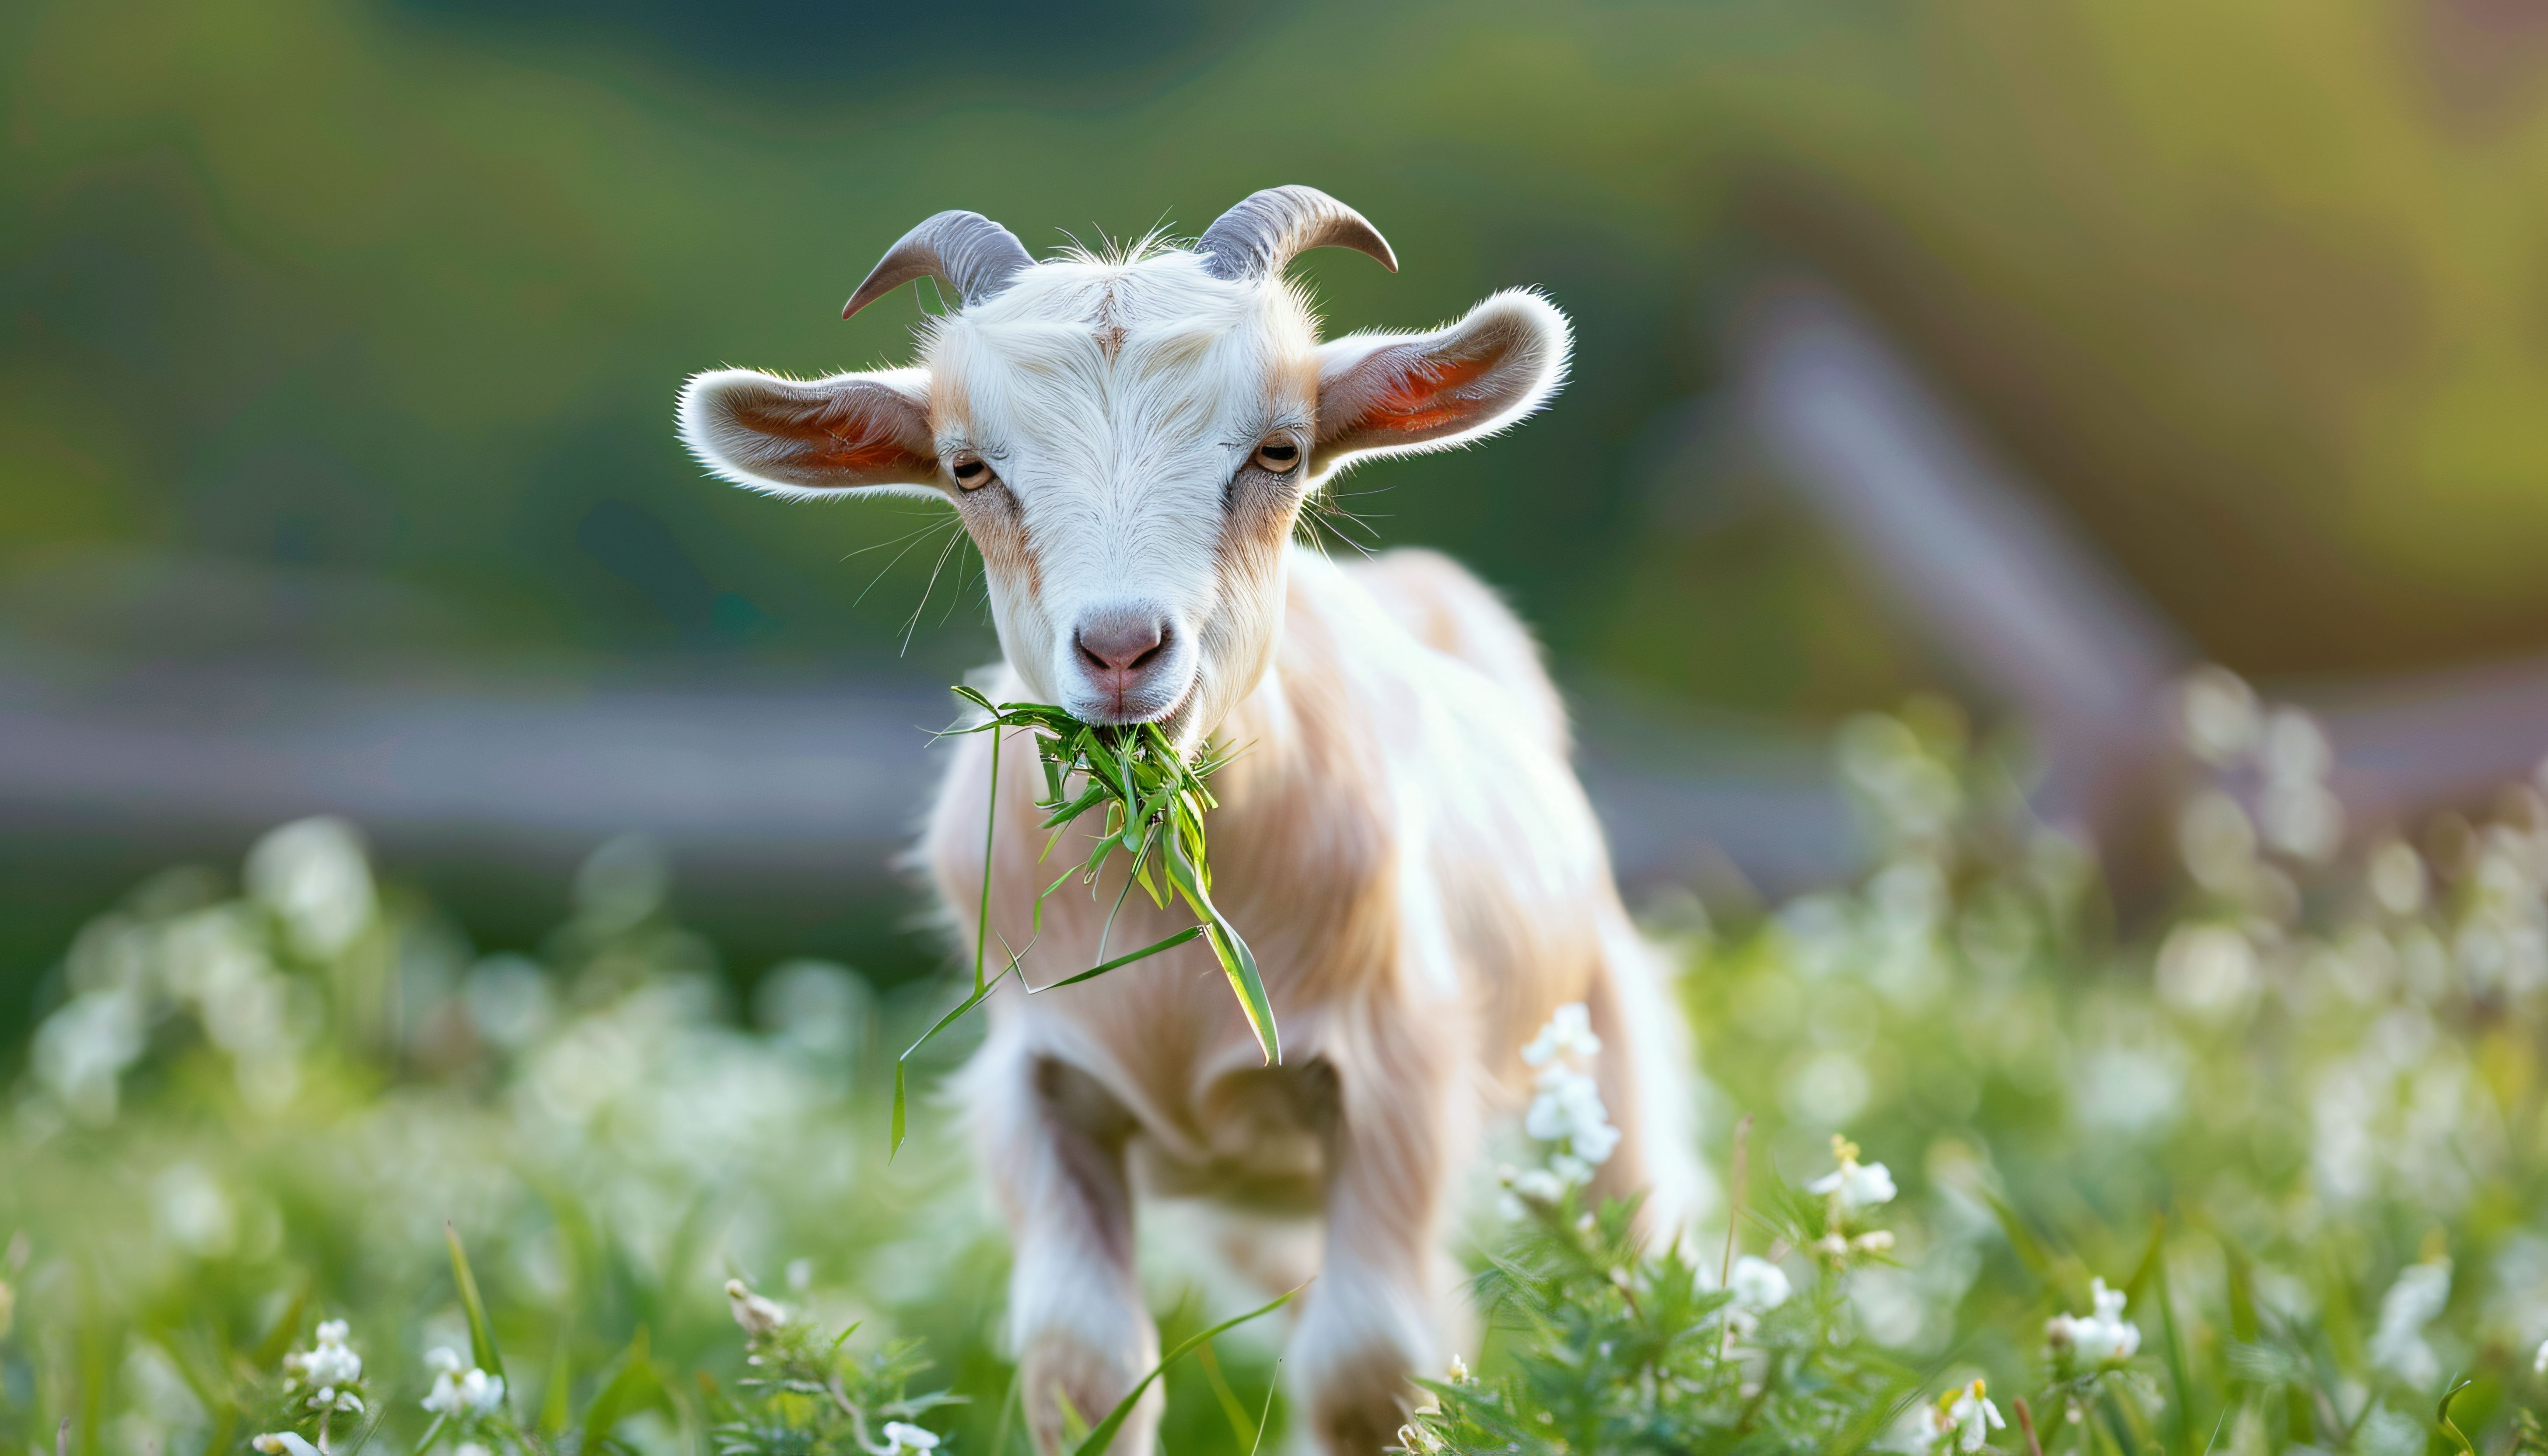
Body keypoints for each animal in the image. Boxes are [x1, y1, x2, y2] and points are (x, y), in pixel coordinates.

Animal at [678, 187, 1703, 1456]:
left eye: (1280, 450)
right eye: (970, 468)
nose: (1123, 650)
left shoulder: (1398, 1079)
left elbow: (1367, 1368)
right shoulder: (1041, 1089)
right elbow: (1085, 1363)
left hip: (1594, 1049)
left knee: (1630, 1250)